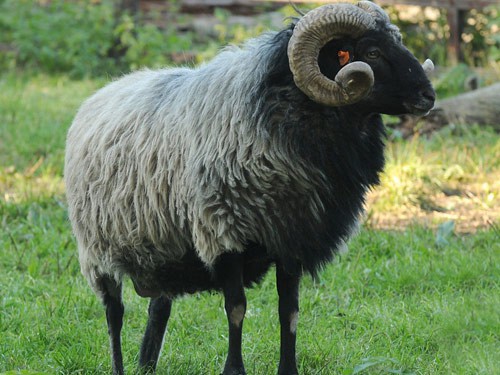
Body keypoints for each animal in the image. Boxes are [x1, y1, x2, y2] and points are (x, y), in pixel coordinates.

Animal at [65, 1, 434, 374]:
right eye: (372, 51)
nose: (428, 96)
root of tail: (105, 90)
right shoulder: (225, 233)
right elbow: (236, 309)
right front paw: (234, 369)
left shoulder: (292, 237)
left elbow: (290, 312)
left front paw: (288, 369)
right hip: (98, 247)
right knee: (115, 313)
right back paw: (120, 366)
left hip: (163, 246)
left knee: (159, 307)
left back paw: (147, 364)